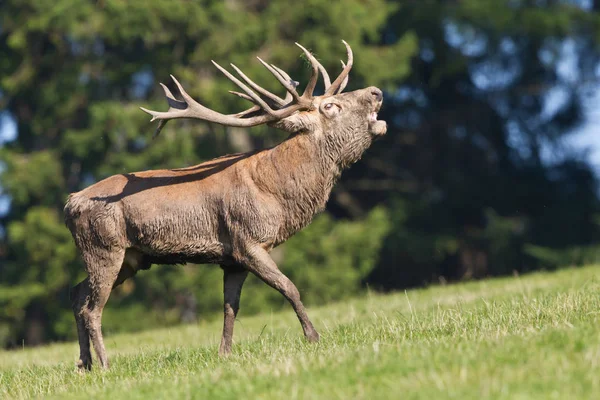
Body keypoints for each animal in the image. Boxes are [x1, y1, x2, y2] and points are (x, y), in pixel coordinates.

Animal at [64, 39, 384, 368]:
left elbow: (231, 307)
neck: (276, 192)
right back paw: (104, 364)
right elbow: (290, 288)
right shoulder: (249, 241)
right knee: (92, 308)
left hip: (131, 257)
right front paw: (313, 337)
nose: (376, 91)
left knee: (76, 294)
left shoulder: (232, 259)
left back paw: (84, 364)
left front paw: (225, 352)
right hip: (104, 248)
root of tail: (69, 204)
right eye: (330, 106)